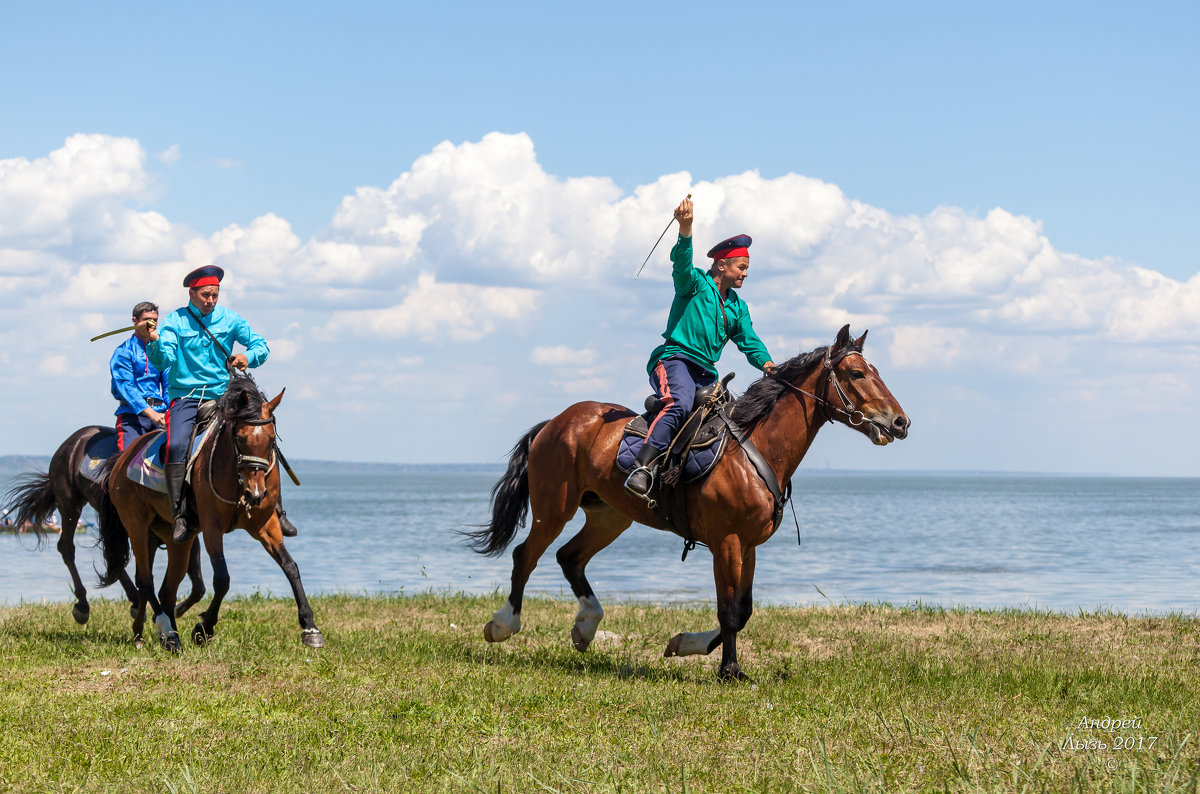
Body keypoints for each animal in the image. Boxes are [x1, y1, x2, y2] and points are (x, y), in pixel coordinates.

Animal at [2, 426, 205, 623]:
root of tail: (74, 440)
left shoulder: (182, 535)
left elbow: (197, 587)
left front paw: (174, 610)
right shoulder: (147, 533)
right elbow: (148, 577)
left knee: (113, 555)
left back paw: (132, 599)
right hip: (70, 505)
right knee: (68, 548)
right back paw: (83, 605)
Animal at [97, 379, 324, 652]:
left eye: (271, 440)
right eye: (240, 438)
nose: (255, 493)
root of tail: (121, 459)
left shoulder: (265, 526)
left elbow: (291, 567)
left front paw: (310, 627)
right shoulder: (212, 528)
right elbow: (222, 579)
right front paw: (204, 629)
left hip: (175, 539)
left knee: (166, 590)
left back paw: (157, 635)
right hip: (137, 526)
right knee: (146, 580)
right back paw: (165, 630)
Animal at [468, 326, 907, 681]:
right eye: (857, 373)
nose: (900, 422)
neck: (753, 448)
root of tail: (557, 422)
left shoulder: (748, 546)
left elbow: (743, 610)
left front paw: (685, 644)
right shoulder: (726, 543)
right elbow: (728, 610)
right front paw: (730, 672)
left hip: (609, 516)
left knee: (569, 557)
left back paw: (586, 626)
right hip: (554, 507)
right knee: (526, 556)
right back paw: (504, 624)